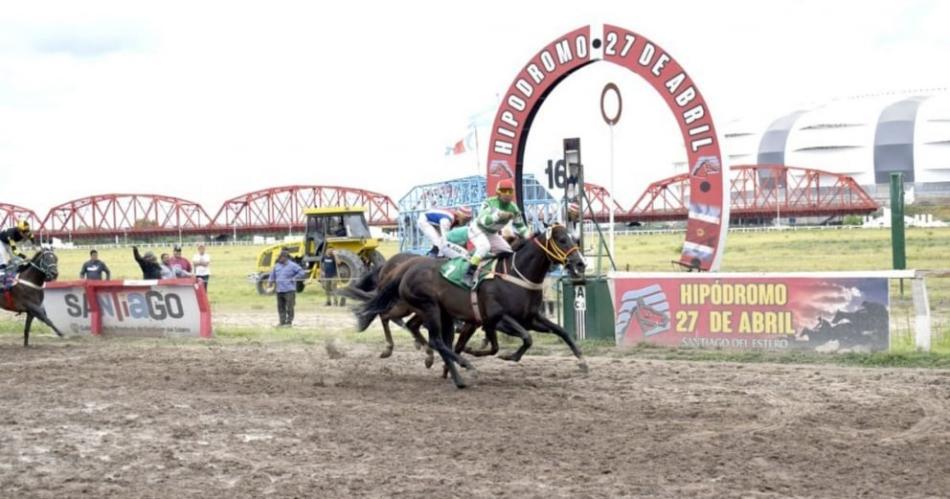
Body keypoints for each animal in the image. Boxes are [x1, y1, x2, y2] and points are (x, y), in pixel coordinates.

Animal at [356, 225, 588, 388]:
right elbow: (525, 338)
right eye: (562, 239)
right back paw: (463, 369)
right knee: (431, 338)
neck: (515, 276)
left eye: (574, 238)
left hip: (438, 312)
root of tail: (405, 268)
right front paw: (509, 356)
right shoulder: (499, 319)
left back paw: (454, 373)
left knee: (430, 336)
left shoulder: (528, 318)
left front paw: (582, 362)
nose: (580, 263)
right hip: (428, 307)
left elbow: (562, 331)